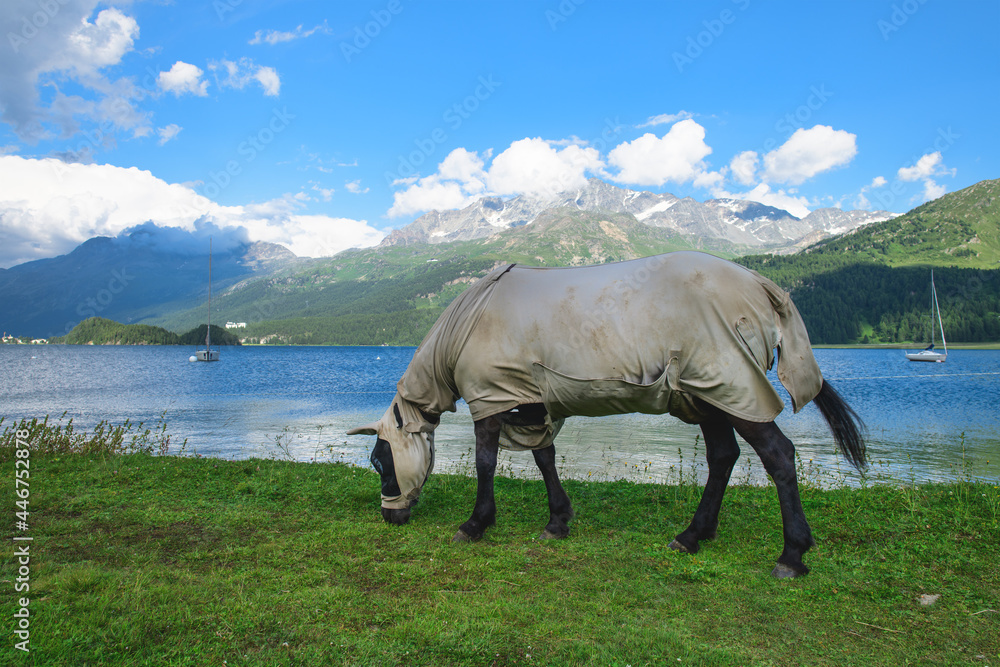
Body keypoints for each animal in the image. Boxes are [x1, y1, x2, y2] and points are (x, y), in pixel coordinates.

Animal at [347, 251, 865, 578]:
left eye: (379, 461)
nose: (390, 516)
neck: (469, 322)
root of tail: (762, 284)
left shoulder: (490, 398)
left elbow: (486, 463)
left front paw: (475, 524)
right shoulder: (532, 399)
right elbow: (545, 459)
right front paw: (557, 522)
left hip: (734, 388)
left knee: (778, 455)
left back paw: (792, 555)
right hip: (709, 394)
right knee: (723, 457)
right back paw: (693, 535)